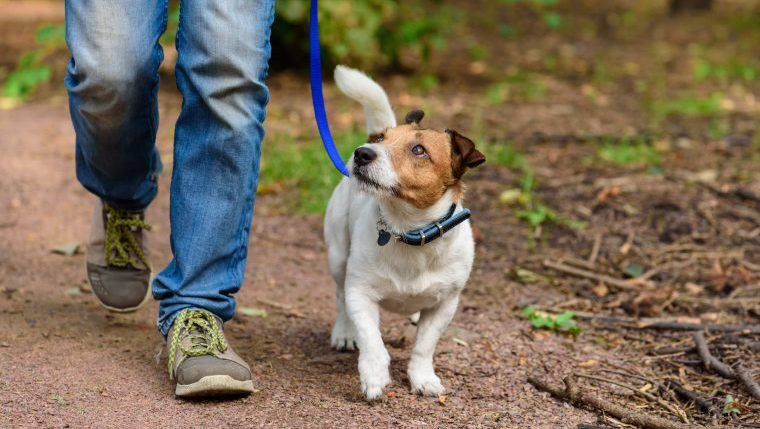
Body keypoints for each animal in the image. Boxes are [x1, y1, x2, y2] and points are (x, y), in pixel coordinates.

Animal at [324, 65, 484, 400]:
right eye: (382, 139)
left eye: (419, 150)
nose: (362, 153)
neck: (408, 230)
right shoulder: (360, 293)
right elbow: (371, 340)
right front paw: (374, 375)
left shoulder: (445, 305)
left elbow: (424, 346)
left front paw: (423, 378)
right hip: (337, 256)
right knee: (340, 297)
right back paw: (344, 332)